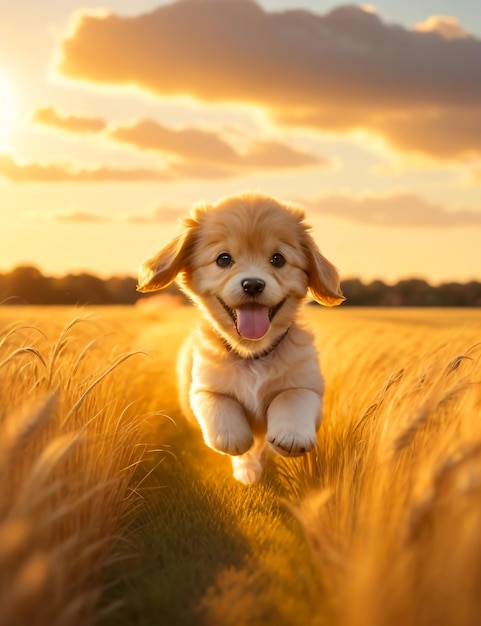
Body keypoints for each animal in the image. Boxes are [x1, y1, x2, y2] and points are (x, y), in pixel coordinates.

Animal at [137, 190, 344, 482]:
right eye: (223, 259)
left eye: (278, 259)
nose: (253, 284)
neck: (252, 353)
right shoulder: (202, 388)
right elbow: (222, 411)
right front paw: (235, 442)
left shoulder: (308, 385)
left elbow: (291, 397)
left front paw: (290, 437)